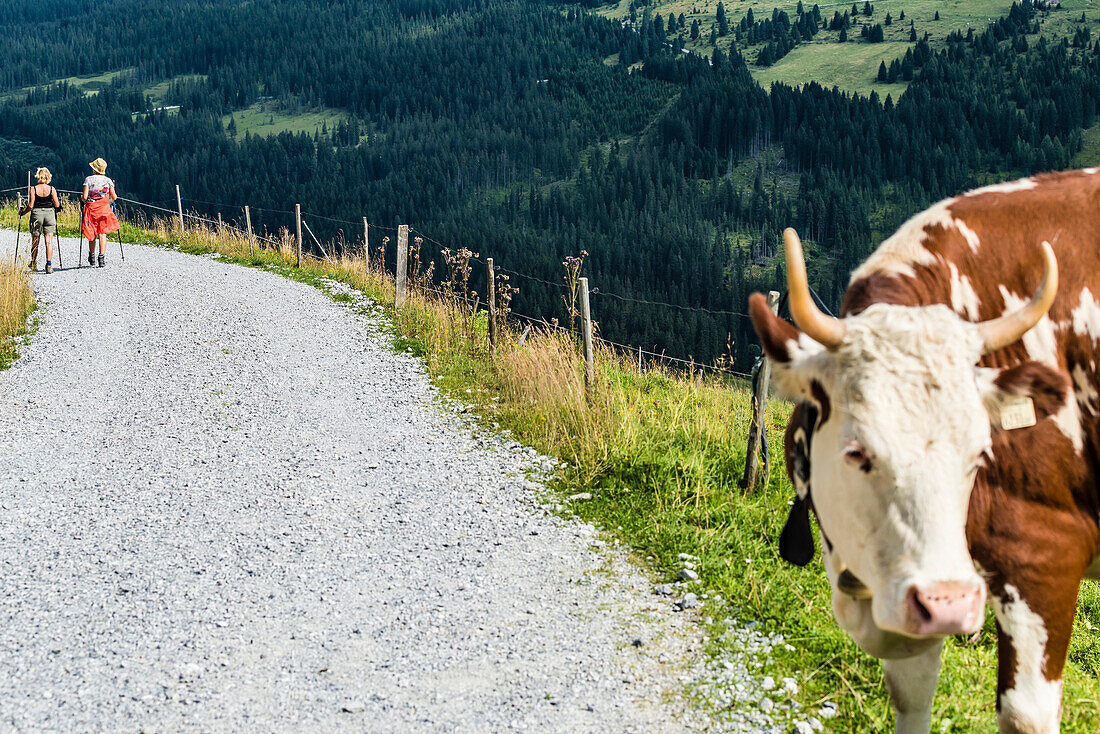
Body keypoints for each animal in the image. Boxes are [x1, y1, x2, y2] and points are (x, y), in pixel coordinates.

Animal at [752, 169, 1100, 730]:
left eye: (980, 454)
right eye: (857, 452)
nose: (950, 605)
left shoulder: (1045, 555)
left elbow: (1024, 714)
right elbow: (910, 693)